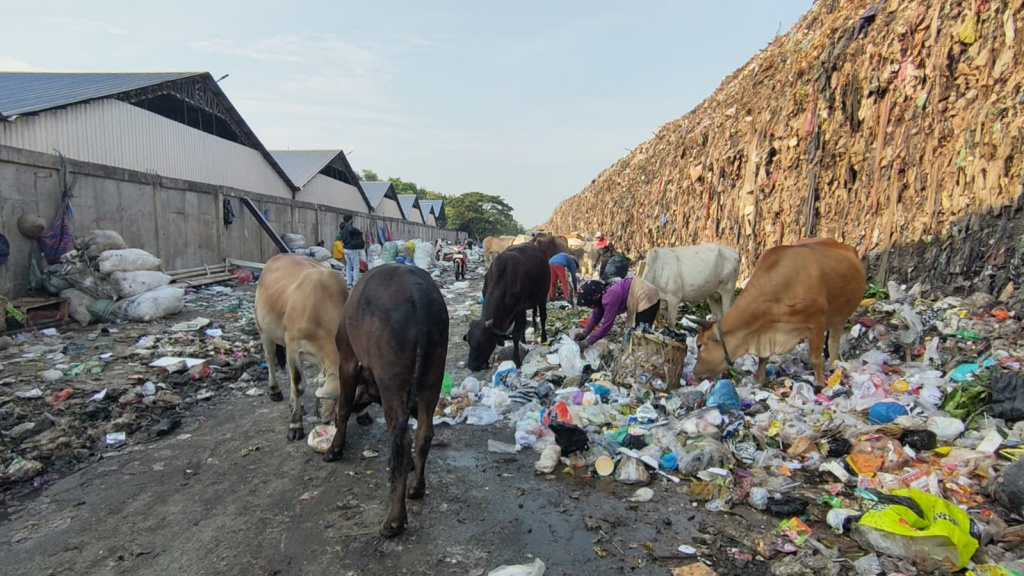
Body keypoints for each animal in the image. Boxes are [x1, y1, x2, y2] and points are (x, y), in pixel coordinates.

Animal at [254, 253, 348, 436]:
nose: (326, 419)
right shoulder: (293, 349)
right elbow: (298, 385)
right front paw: (295, 424)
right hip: (264, 331)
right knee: (270, 360)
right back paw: (274, 390)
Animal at [319, 262, 448, 537]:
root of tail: (417, 292)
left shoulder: (347, 360)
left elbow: (343, 407)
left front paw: (335, 448)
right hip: (433, 375)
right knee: (423, 434)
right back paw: (417, 487)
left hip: (392, 383)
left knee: (402, 443)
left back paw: (395, 520)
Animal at [688, 237, 864, 385]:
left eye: (700, 345)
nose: (694, 373)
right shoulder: (765, 331)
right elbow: (763, 358)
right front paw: (759, 379)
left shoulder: (816, 324)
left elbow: (815, 359)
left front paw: (819, 383)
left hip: (840, 317)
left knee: (833, 344)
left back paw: (832, 367)